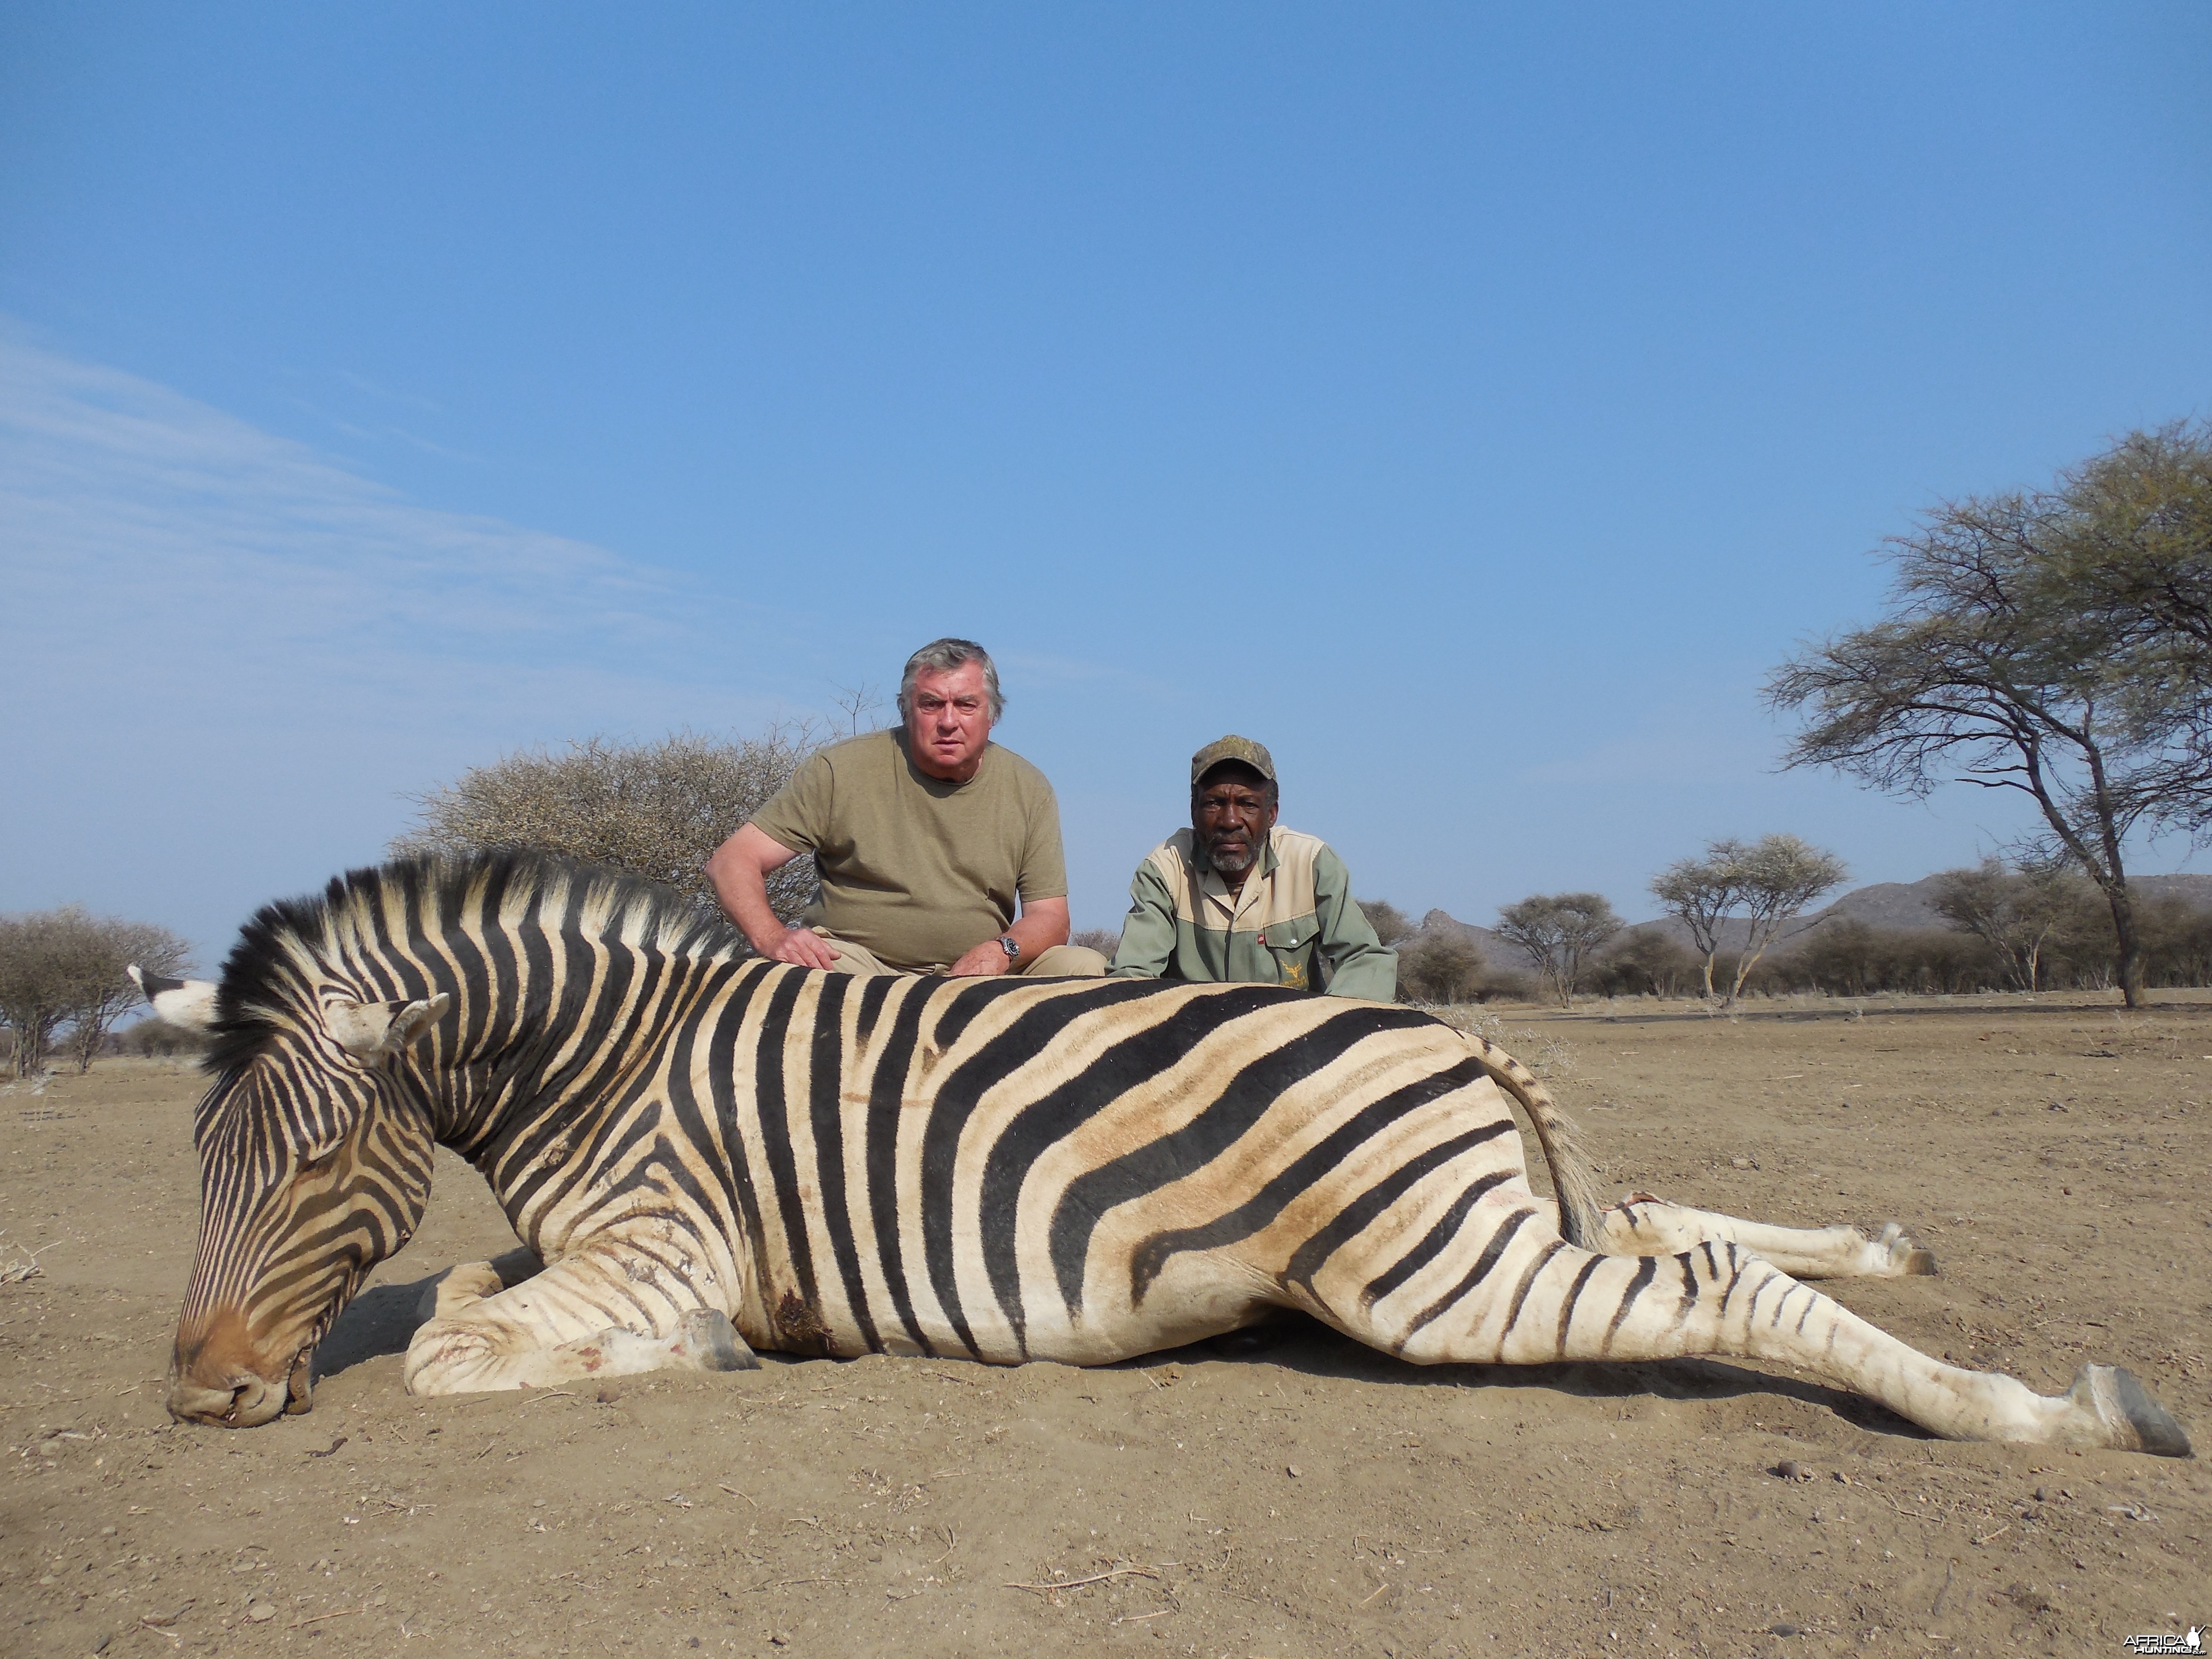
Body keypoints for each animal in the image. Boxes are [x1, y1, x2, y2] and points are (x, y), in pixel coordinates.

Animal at [143, 849, 2194, 1460]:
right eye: (198, 1168)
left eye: (307, 1168)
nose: (199, 1392)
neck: (608, 1060)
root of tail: (1438, 1027)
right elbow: (468, 1300)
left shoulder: (667, 1240)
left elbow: (450, 1342)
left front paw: (694, 1353)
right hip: (1483, 1216)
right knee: (1670, 1217)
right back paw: (1904, 1260)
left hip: (1431, 1270)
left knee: (1697, 1274)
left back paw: (2054, 1413)